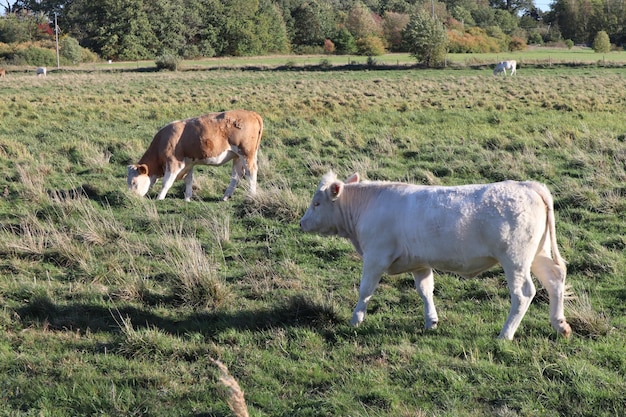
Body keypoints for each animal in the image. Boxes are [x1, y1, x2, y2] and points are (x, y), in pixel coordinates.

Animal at [127, 109, 264, 202]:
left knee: (251, 172)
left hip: (246, 153)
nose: (130, 198)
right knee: (236, 175)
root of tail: (252, 113)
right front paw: (187, 198)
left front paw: (160, 198)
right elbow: (189, 180)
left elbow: (166, 182)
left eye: (134, 182)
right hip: (236, 156)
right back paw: (225, 196)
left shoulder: (173, 163)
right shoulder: (188, 163)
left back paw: (251, 195)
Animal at [298, 171, 572, 338]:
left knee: (523, 293)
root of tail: (527, 185)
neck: (368, 205)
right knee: (555, 279)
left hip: (515, 259)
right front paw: (431, 321)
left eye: (317, 203)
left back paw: (505, 334)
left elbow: (365, 290)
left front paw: (356, 319)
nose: (302, 223)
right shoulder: (420, 263)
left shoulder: (375, 257)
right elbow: (425, 290)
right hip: (538, 254)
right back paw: (560, 324)